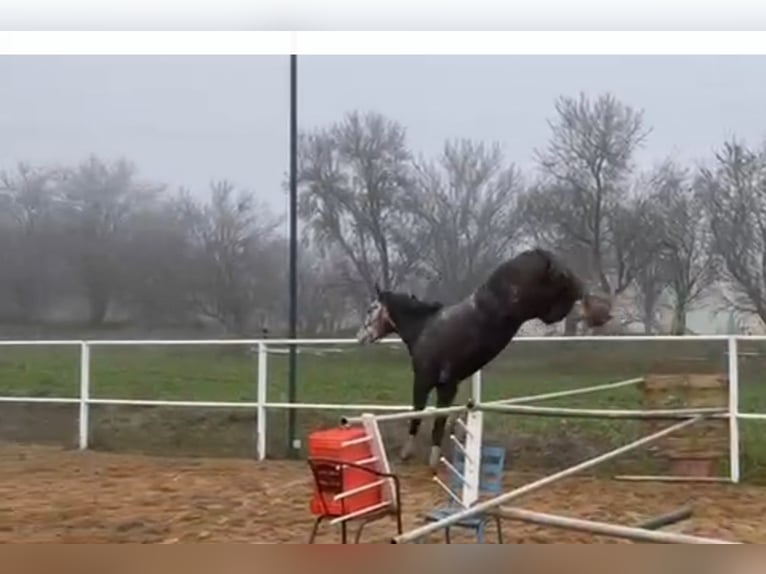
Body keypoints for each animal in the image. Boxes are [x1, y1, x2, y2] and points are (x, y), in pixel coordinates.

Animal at [356, 246, 616, 468]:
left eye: (370, 309)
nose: (360, 337)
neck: (424, 329)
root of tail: (540, 254)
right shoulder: (449, 385)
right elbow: (441, 419)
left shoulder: (426, 381)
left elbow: (420, 416)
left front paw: (414, 456)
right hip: (547, 307)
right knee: (574, 290)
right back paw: (600, 313)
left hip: (541, 304)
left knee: (575, 291)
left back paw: (597, 312)